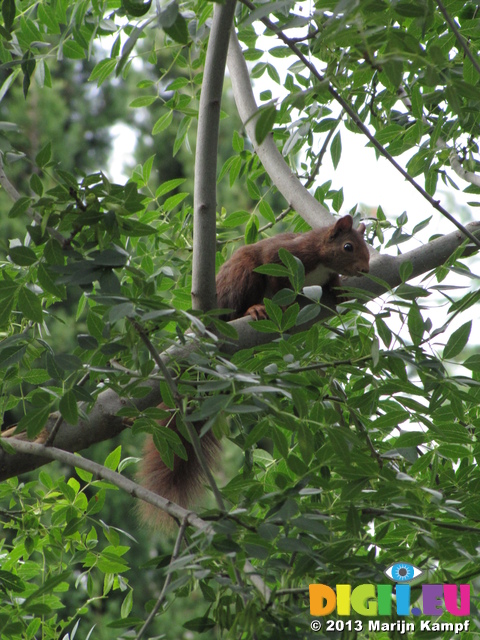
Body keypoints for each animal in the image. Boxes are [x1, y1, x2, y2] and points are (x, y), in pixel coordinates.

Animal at [137, 215, 370, 524]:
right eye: (348, 247)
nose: (366, 269)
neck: (322, 261)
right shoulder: (283, 255)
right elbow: (275, 277)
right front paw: (282, 303)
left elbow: (332, 283)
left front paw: (340, 288)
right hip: (242, 276)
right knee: (239, 304)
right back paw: (254, 310)